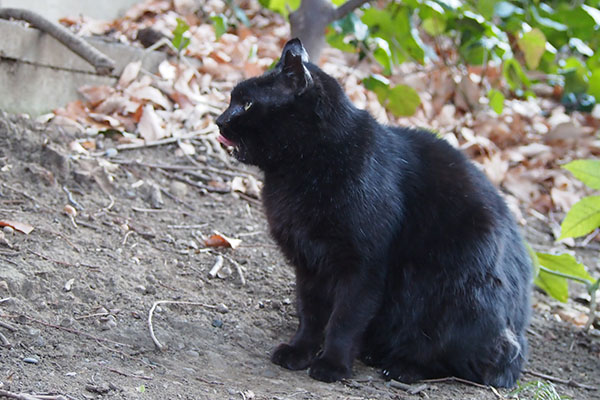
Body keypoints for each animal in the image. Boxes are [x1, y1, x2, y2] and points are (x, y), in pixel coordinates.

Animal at [214, 39, 528, 386]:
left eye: (246, 104)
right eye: (233, 100)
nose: (219, 120)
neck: (301, 172)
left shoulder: (363, 266)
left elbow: (345, 319)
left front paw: (332, 364)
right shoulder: (308, 264)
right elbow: (311, 314)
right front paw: (299, 351)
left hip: (456, 290)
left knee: (458, 357)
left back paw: (403, 366)